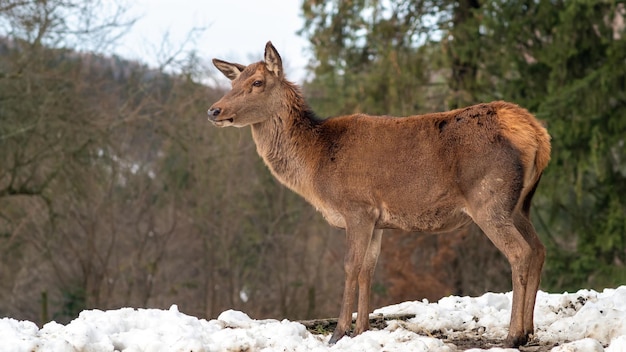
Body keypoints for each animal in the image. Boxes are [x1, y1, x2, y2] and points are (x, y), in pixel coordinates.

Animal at [207, 41, 548, 346]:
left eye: (257, 82)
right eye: (233, 81)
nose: (214, 110)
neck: (315, 164)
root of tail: (538, 133)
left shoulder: (356, 207)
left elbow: (350, 266)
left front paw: (338, 332)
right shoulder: (377, 219)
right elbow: (367, 269)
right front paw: (361, 331)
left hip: (489, 198)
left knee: (520, 252)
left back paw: (512, 335)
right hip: (520, 204)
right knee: (539, 248)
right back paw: (528, 330)